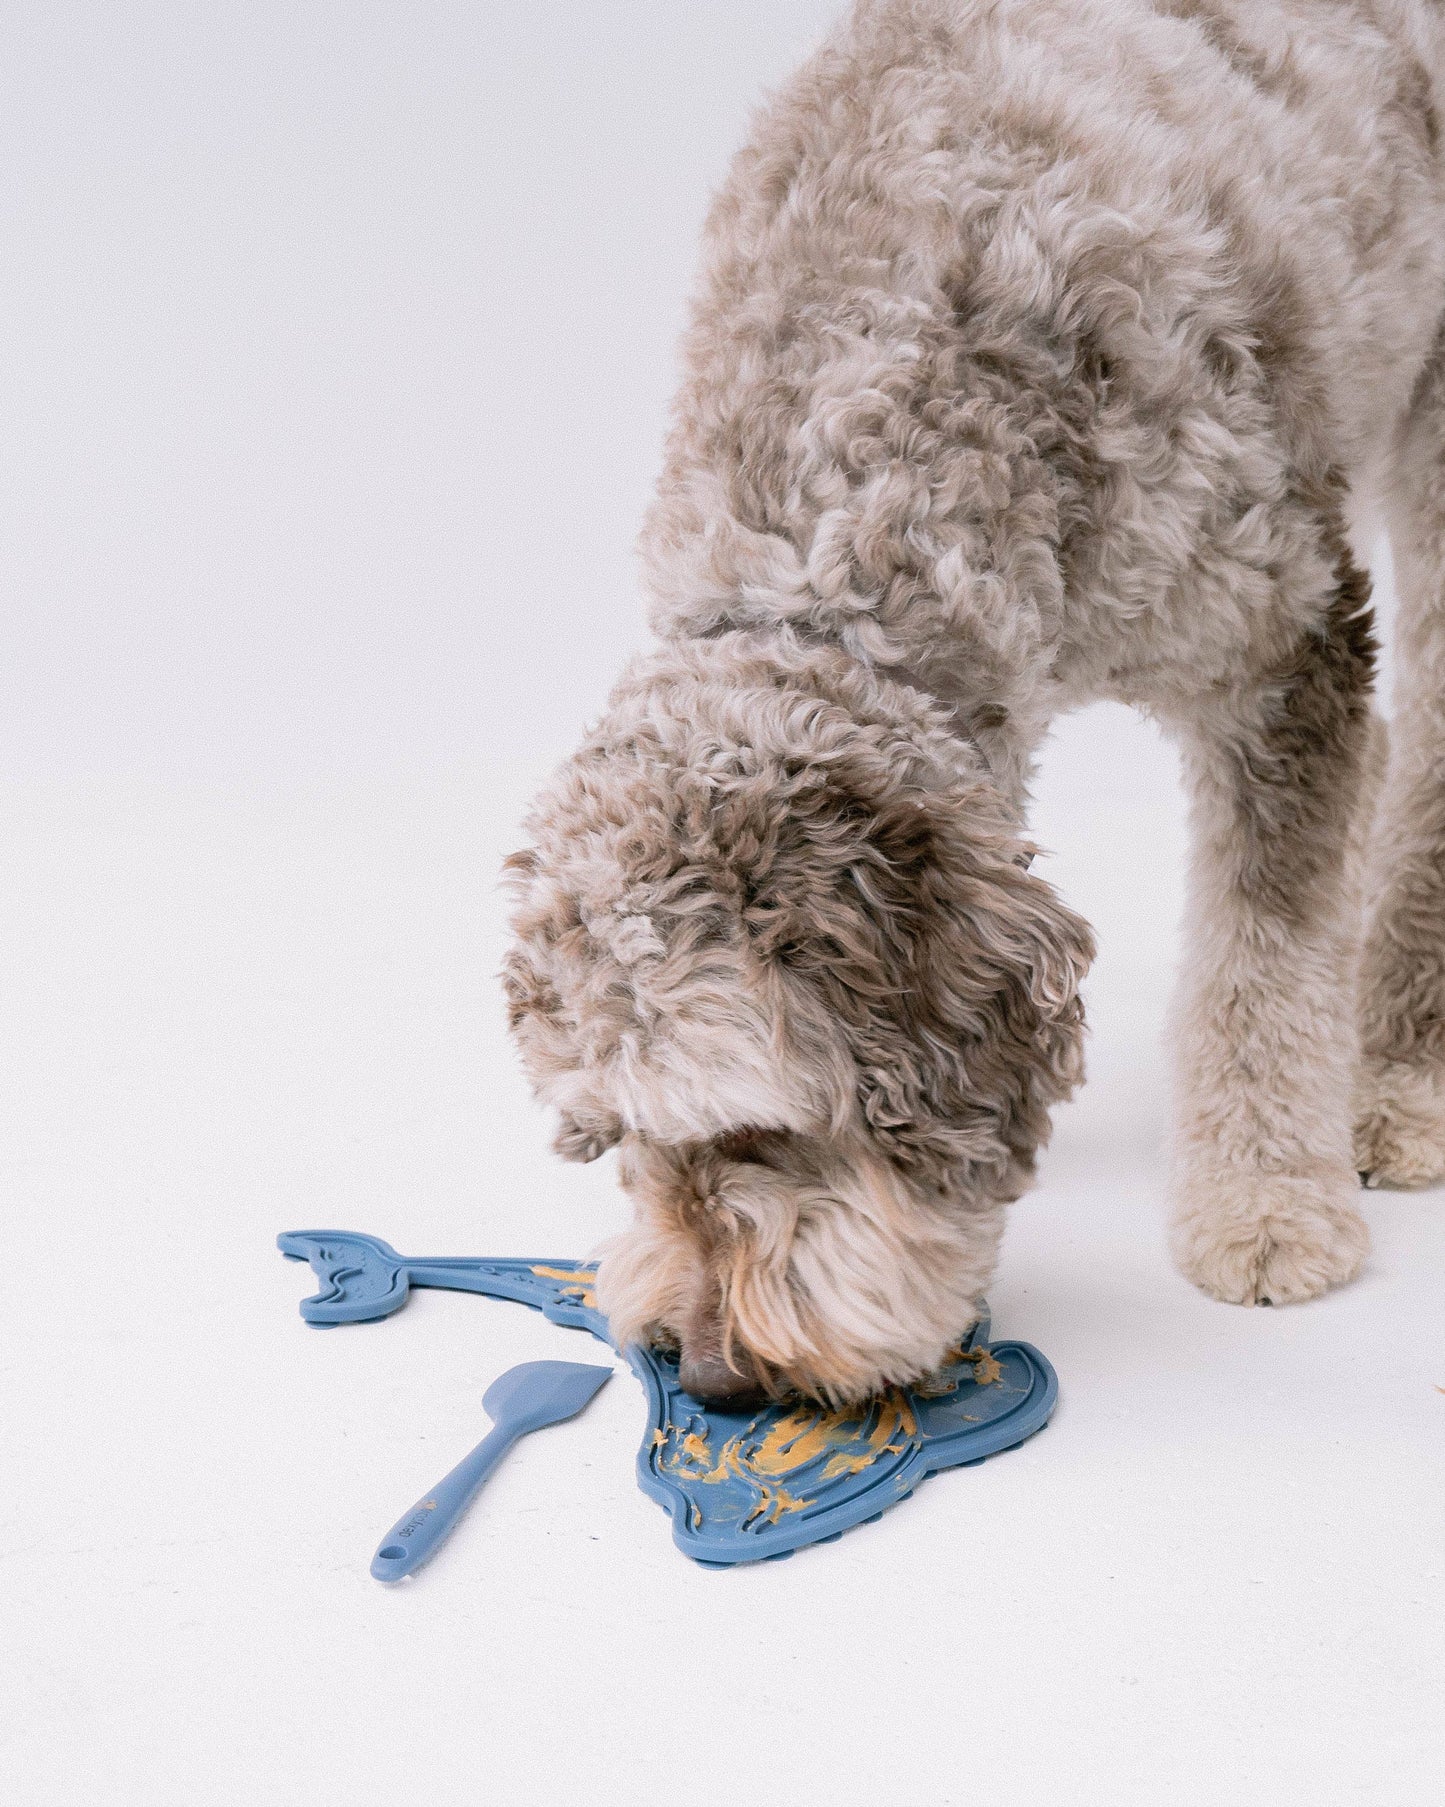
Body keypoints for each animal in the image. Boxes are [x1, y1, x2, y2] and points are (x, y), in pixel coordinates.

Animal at [502, 0, 1445, 1402]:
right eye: (616, 1140)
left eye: (759, 1126)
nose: (711, 1375)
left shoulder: (1281, 644)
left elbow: (1262, 953)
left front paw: (1265, 1199)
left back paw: (1394, 1071)